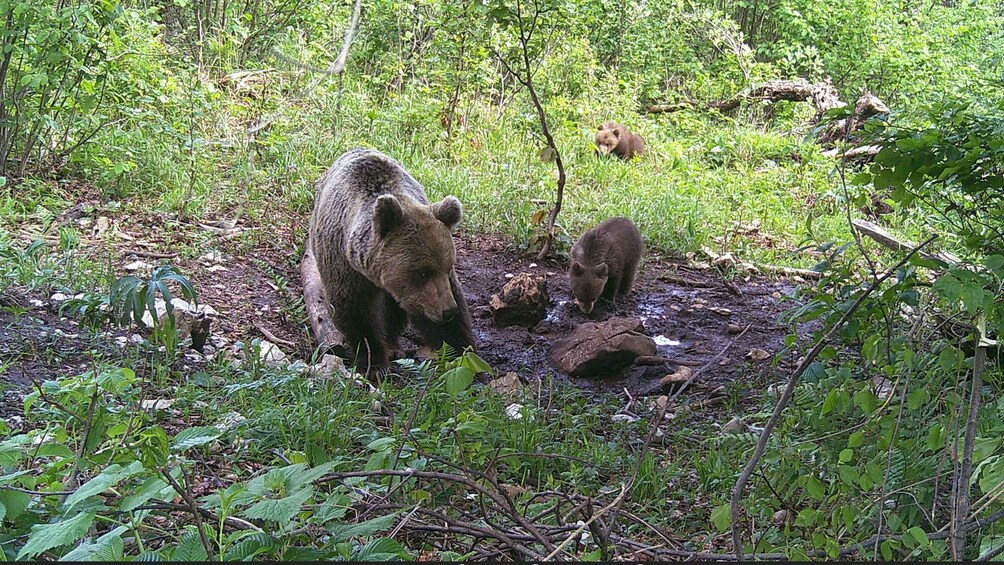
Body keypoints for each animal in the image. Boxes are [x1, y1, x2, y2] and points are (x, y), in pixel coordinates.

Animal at [305, 149, 473, 371]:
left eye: (448, 267)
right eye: (423, 272)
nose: (448, 311)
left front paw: (462, 356)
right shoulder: (344, 264)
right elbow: (355, 311)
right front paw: (373, 363)